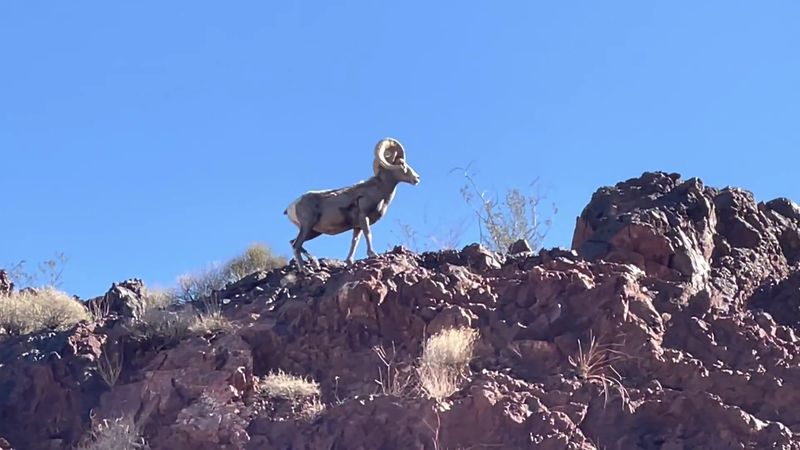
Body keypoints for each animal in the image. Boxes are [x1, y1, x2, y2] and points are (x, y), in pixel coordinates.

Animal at [284, 137, 421, 273]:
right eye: (401, 163)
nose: (417, 178)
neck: (378, 190)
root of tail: (291, 206)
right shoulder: (364, 218)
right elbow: (368, 234)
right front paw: (372, 254)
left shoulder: (357, 226)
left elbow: (354, 242)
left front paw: (349, 262)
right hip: (307, 227)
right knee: (296, 245)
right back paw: (306, 270)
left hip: (313, 232)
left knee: (293, 243)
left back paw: (315, 263)